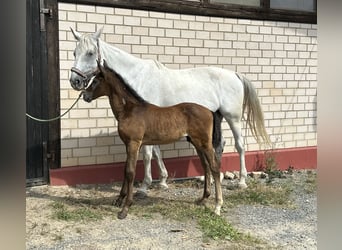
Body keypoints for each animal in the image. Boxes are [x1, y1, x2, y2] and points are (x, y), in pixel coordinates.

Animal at [69, 27, 272, 188]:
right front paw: (163, 181)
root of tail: (235, 74)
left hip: (233, 118)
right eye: (74, 53)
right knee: (219, 145)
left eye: (90, 53)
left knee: (240, 146)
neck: (138, 76)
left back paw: (242, 181)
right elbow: (156, 152)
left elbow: (147, 154)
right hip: (218, 117)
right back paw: (213, 178)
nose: (75, 81)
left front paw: (145, 185)